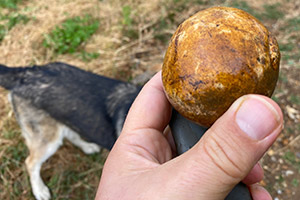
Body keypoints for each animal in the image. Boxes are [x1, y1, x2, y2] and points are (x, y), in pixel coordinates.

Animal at [0, 61, 142, 199]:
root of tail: (24, 73)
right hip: (48, 141)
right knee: (30, 163)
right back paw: (39, 191)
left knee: (71, 134)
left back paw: (88, 147)